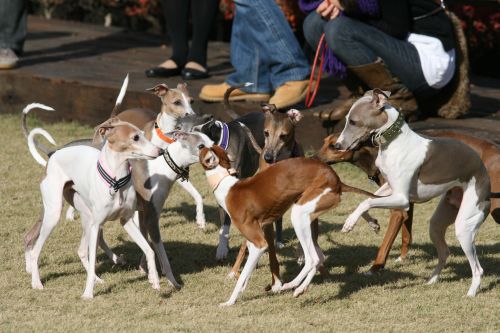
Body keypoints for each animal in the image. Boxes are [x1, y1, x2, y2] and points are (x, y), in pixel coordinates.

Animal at [198, 144, 376, 304]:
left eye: (204, 149)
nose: (200, 145)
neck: (227, 186)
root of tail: (338, 181)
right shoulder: (252, 239)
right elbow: (245, 273)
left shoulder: (259, 244)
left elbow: (242, 276)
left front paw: (230, 302)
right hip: (308, 217)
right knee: (319, 257)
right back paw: (300, 288)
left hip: (298, 215)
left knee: (312, 259)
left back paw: (290, 285)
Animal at [334, 88, 490, 296]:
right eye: (347, 120)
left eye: (353, 121)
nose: (337, 145)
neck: (395, 141)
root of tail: (482, 169)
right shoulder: (388, 187)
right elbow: (367, 199)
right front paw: (372, 222)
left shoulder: (402, 199)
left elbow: (366, 201)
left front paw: (350, 223)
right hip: (438, 222)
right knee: (444, 252)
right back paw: (432, 280)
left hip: (464, 225)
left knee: (477, 268)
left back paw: (471, 293)